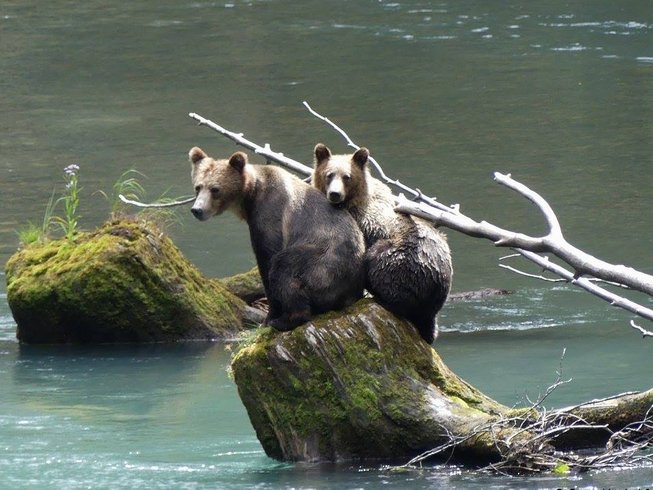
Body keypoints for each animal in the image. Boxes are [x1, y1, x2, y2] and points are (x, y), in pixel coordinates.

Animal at [188, 148, 366, 334]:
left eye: (215, 189)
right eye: (198, 187)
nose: (197, 210)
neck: (250, 196)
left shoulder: (269, 214)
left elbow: (268, 259)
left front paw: (268, 318)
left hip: (325, 263)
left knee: (285, 267)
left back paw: (284, 320)